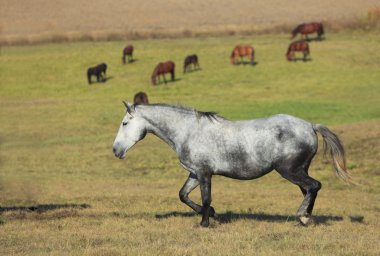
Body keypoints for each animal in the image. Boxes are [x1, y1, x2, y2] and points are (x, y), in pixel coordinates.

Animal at [113, 103, 350, 227]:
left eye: (124, 123)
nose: (116, 150)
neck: (189, 131)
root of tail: (310, 126)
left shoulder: (204, 173)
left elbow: (206, 198)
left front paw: (205, 223)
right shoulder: (194, 173)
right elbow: (183, 195)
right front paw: (212, 214)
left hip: (289, 170)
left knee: (314, 186)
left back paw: (302, 216)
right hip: (299, 170)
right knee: (309, 189)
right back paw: (306, 218)